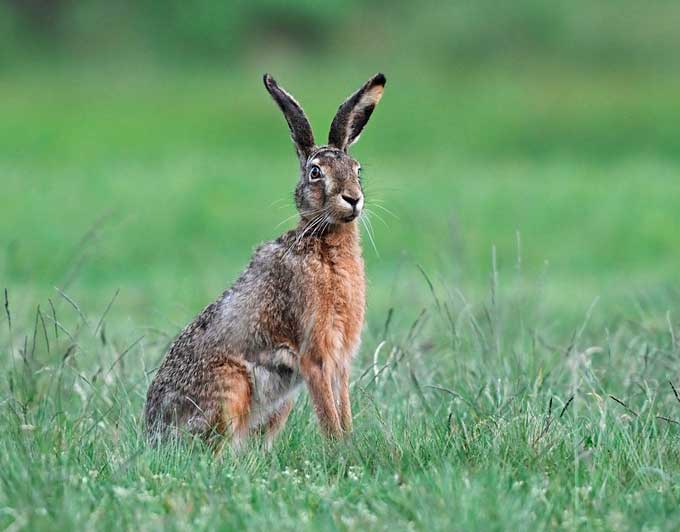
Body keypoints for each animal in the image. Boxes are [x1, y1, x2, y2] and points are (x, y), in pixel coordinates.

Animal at [144, 72, 386, 451]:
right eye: (315, 172)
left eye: (357, 170)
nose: (353, 199)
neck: (323, 241)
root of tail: (153, 434)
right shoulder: (314, 355)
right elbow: (328, 413)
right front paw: (338, 450)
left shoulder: (340, 360)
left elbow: (343, 406)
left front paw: (349, 444)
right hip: (231, 388)